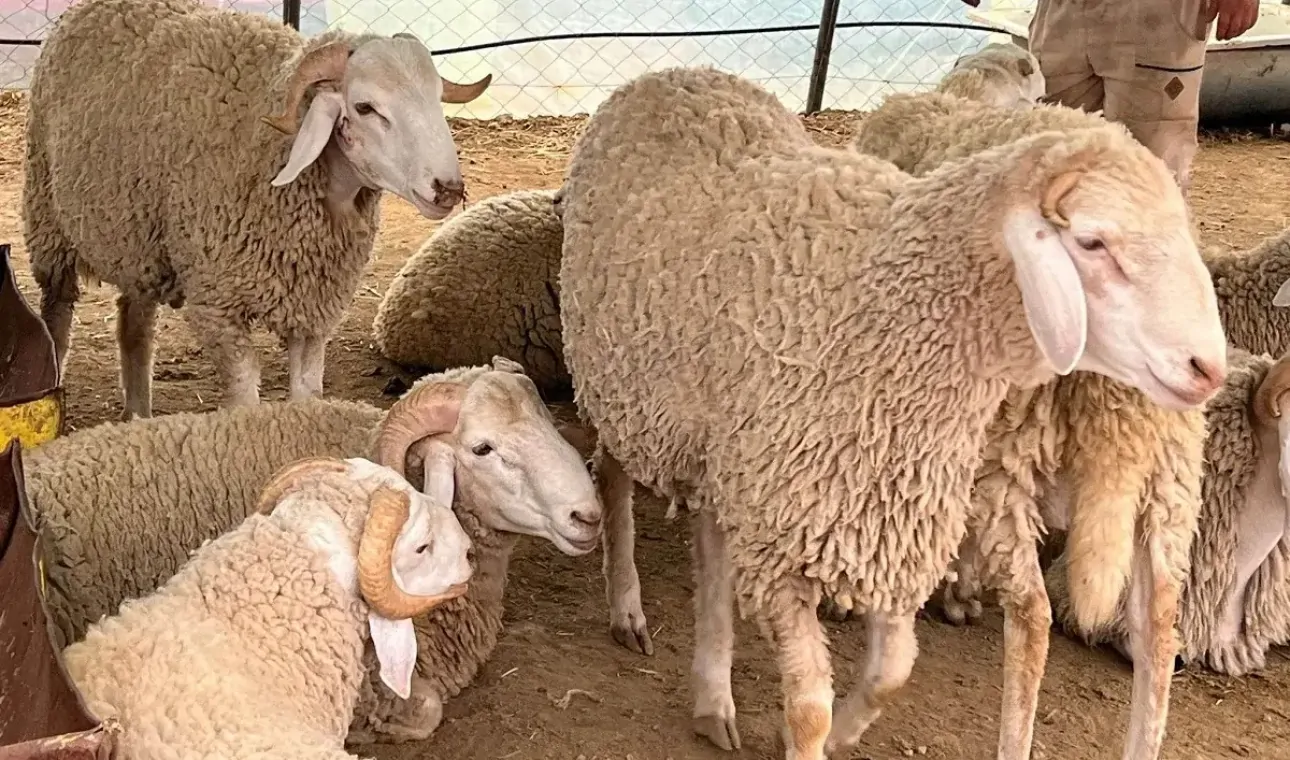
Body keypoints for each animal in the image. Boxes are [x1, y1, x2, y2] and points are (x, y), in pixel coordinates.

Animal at [24, 0, 492, 420]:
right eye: (365, 107)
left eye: (437, 98)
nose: (448, 189)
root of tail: (89, 8)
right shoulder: (217, 305)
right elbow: (246, 395)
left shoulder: (313, 311)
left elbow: (307, 394)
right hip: (47, 215)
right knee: (58, 313)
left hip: (140, 240)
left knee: (134, 324)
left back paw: (138, 414)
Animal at [558, 65, 1227, 760]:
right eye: (1093, 242)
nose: (1209, 369)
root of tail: (676, 74)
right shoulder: (792, 553)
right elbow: (808, 708)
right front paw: (816, 733)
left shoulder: (887, 524)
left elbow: (892, 670)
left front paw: (846, 733)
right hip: (623, 386)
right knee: (611, 475)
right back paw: (627, 607)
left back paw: (713, 695)